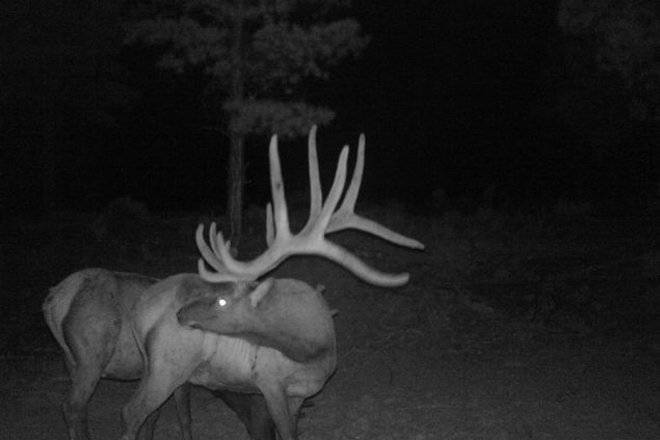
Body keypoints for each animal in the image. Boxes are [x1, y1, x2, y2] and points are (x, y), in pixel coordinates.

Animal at [43, 273, 275, 440]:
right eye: (265, 414)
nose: (267, 434)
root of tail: (53, 301)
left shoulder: (175, 377)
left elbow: (166, 416)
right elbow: (182, 416)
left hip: (70, 360)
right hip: (92, 360)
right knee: (74, 406)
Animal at [118, 126, 424, 440]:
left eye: (222, 300)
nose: (180, 314)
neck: (315, 347)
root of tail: (139, 312)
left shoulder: (299, 394)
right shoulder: (269, 381)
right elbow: (284, 432)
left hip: (163, 369)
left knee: (160, 415)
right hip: (169, 366)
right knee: (132, 411)